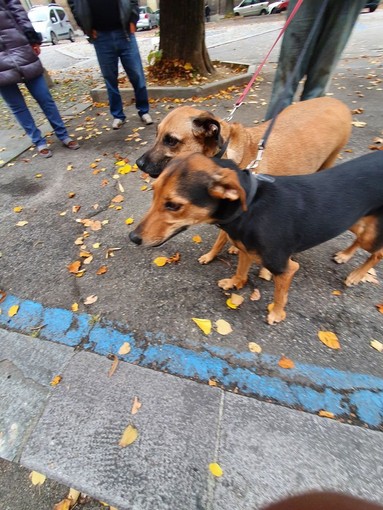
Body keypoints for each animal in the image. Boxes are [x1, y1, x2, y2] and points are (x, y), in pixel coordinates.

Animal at [130, 151, 383, 324]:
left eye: (173, 205)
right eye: (153, 192)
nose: (133, 237)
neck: (250, 206)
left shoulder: (285, 267)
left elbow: (280, 295)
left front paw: (277, 313)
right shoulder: (245, 249)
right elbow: (240, 271)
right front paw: (234, 283)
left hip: (368, 232)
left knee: (377, 253)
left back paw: (356, 275)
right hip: (354, 220)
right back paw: (344, 255)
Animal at [136, 97, 352, 268]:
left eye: (171, 140)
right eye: (157, 134)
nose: (138, 164)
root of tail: (337, 102)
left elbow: (223, 238)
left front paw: (215, 254)